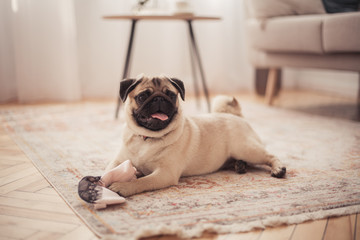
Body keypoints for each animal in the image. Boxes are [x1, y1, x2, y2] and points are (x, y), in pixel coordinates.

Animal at [105, 75, 286, 197]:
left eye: (171, 95)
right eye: (142, 96)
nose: (159, 99)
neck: (147, 138)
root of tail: (236, 116)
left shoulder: (165, 173)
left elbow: (142, 181)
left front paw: (123, 186)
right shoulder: (119, 161)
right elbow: (109, 170)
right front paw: (102, 181)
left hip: (245, 148)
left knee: (269, 155)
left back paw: (278, 169)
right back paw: (239, 165)